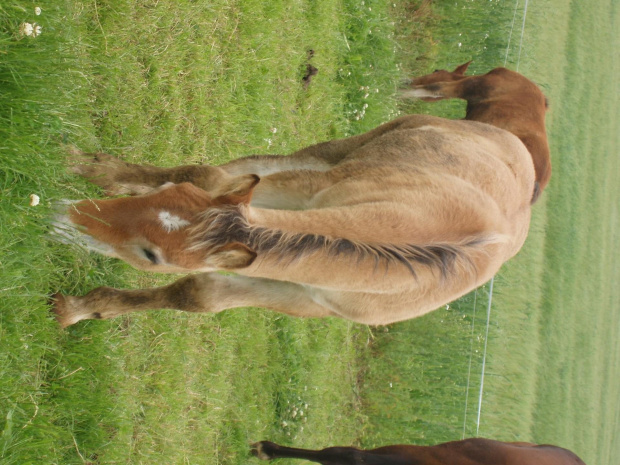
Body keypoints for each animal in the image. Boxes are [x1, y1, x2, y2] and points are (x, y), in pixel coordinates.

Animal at [53, 114, 536, 328]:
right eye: (165, 194)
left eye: (151, 256)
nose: (68, 215)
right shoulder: (304, 190)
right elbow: (209, 177)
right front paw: (88, 167)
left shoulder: (302, 296)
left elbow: (200, 295)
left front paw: (80, 309)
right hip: (341, 149)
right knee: (234, 170)